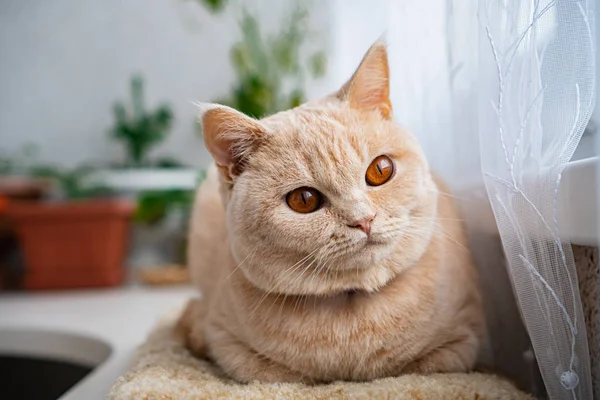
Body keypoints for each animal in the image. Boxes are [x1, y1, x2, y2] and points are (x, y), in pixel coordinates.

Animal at [177, 41, 482, 384]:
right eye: (304, 199)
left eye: (380, 170)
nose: (363, 220)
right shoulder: (228, 343)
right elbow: (279, 374)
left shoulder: (462, 340)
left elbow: (419, 368)